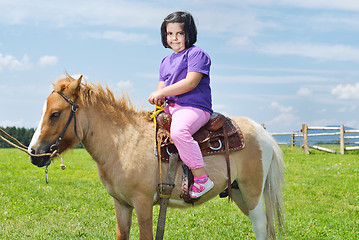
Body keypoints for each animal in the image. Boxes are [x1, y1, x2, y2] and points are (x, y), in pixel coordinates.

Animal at [28, 74, 286, 238]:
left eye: (55, 113)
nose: (34, 153)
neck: (123, 142)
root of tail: (263, 132)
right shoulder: (121, 204)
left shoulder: (143, 204)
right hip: (239, 192)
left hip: (252, 193)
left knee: (261, 225)